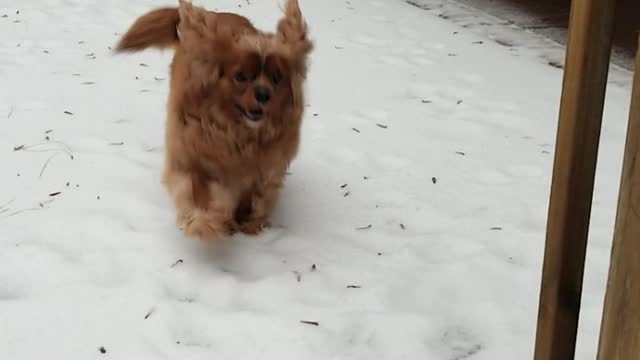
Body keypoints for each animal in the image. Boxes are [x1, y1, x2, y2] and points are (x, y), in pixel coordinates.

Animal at [116, 0, 314, 242]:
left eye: (277, 78)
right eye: (241, 77)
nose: (263, 94)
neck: (239, 135)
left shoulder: (263, 170)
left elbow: (253, 194)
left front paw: (248, 222)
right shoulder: (191, 156)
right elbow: (197, 188)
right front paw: (205, 221)